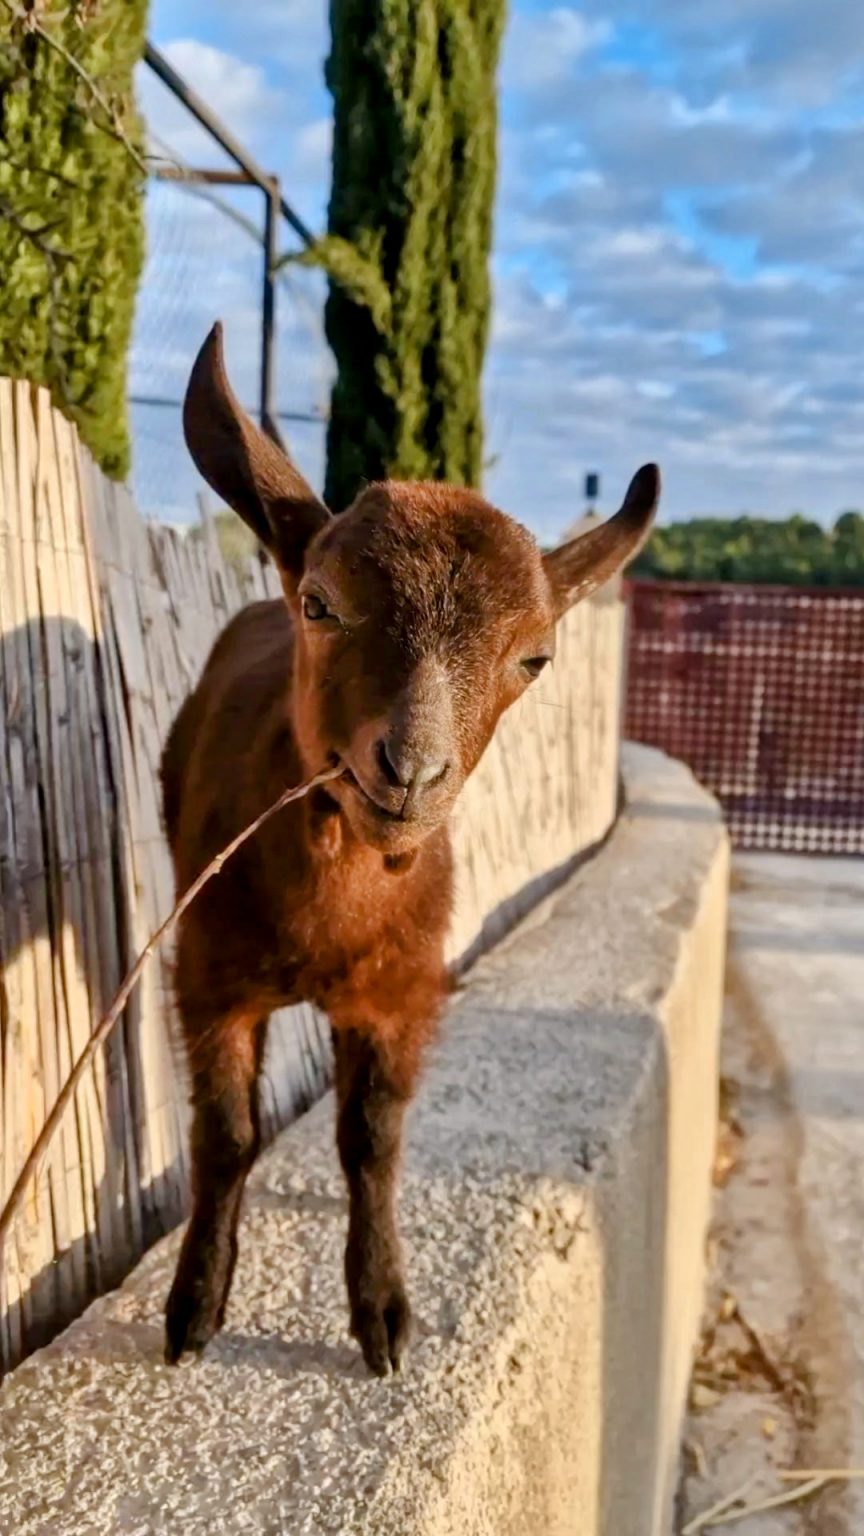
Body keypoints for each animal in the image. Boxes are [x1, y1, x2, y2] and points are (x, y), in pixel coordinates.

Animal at [161, 322, 659, 1375]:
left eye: (534, 657)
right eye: (320, 604)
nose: (410, 772)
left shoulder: (403, 990)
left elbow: (371, 1139)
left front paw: (384, 1312)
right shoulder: (207, 976)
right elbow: (226, 1135)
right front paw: (194, 1305)